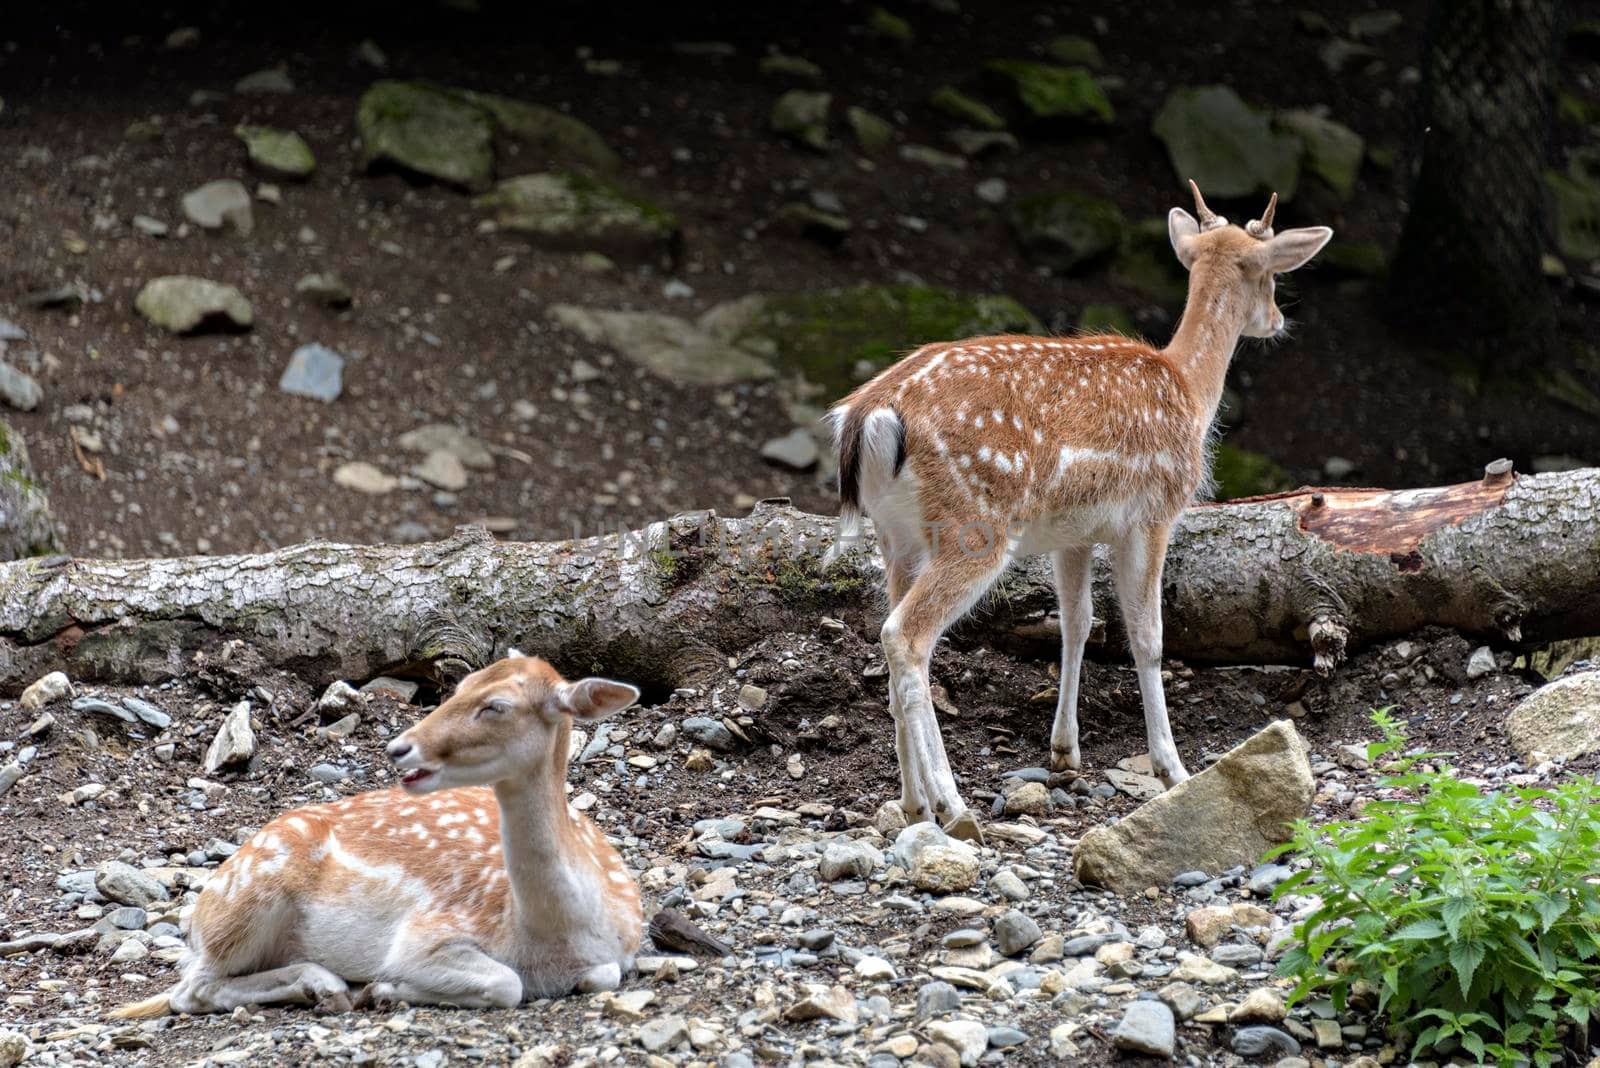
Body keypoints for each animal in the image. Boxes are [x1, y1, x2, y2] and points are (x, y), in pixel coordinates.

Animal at [112, 652, 643, 1016]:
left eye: (496, 705)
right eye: (459, 683)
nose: (400, 747)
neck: (555, 938)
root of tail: (199, 914)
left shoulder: (620, 952)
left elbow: (602, 976)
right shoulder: (426, 934)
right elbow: (506, 984)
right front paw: (385, 988)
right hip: (245, 901)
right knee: (189, 989)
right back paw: (326, 984)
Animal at [832, 183, 1331, 831]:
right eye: (1270, 273)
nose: (1276, 319)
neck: (1191, 391)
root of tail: (871, 415)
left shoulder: (1074, 533)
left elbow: (1078, 622)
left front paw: (1064, 750)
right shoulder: (1153, 515)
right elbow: (1148, 636)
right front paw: (1172, 768)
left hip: (896, 537)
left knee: (892, 643)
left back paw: (913, 803)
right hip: (975, 524)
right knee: (905, 637)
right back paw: (952, 804)